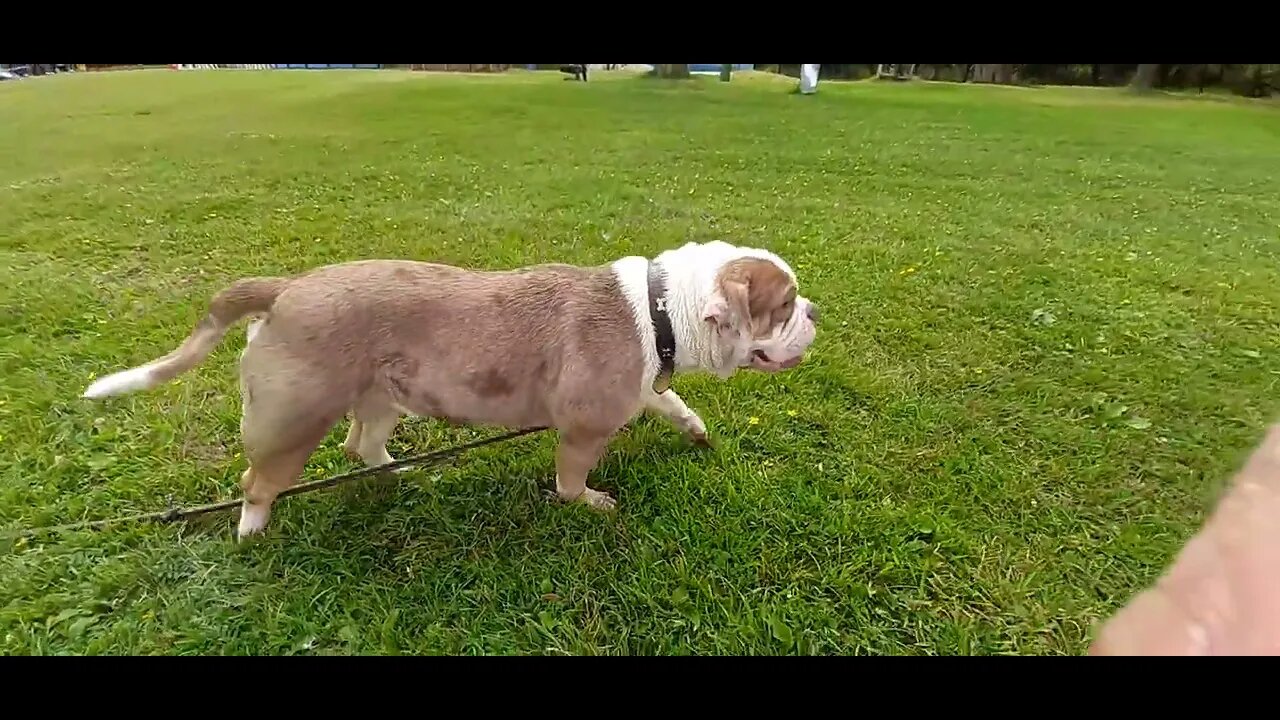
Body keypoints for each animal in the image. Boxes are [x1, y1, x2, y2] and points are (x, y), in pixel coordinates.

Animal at [82, 240, 819, 538]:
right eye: (782, 305)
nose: (814, 312)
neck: (663, 309)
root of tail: (286, 289)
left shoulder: (645, 384)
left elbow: (673, 403)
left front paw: (696, 430)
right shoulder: (586, 425)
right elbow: (571, 479)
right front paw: (589, 503)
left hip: (380, 398)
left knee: (360, 445)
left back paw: (403, 475)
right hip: (292, 417)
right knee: (257, 480)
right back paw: (253, 530)